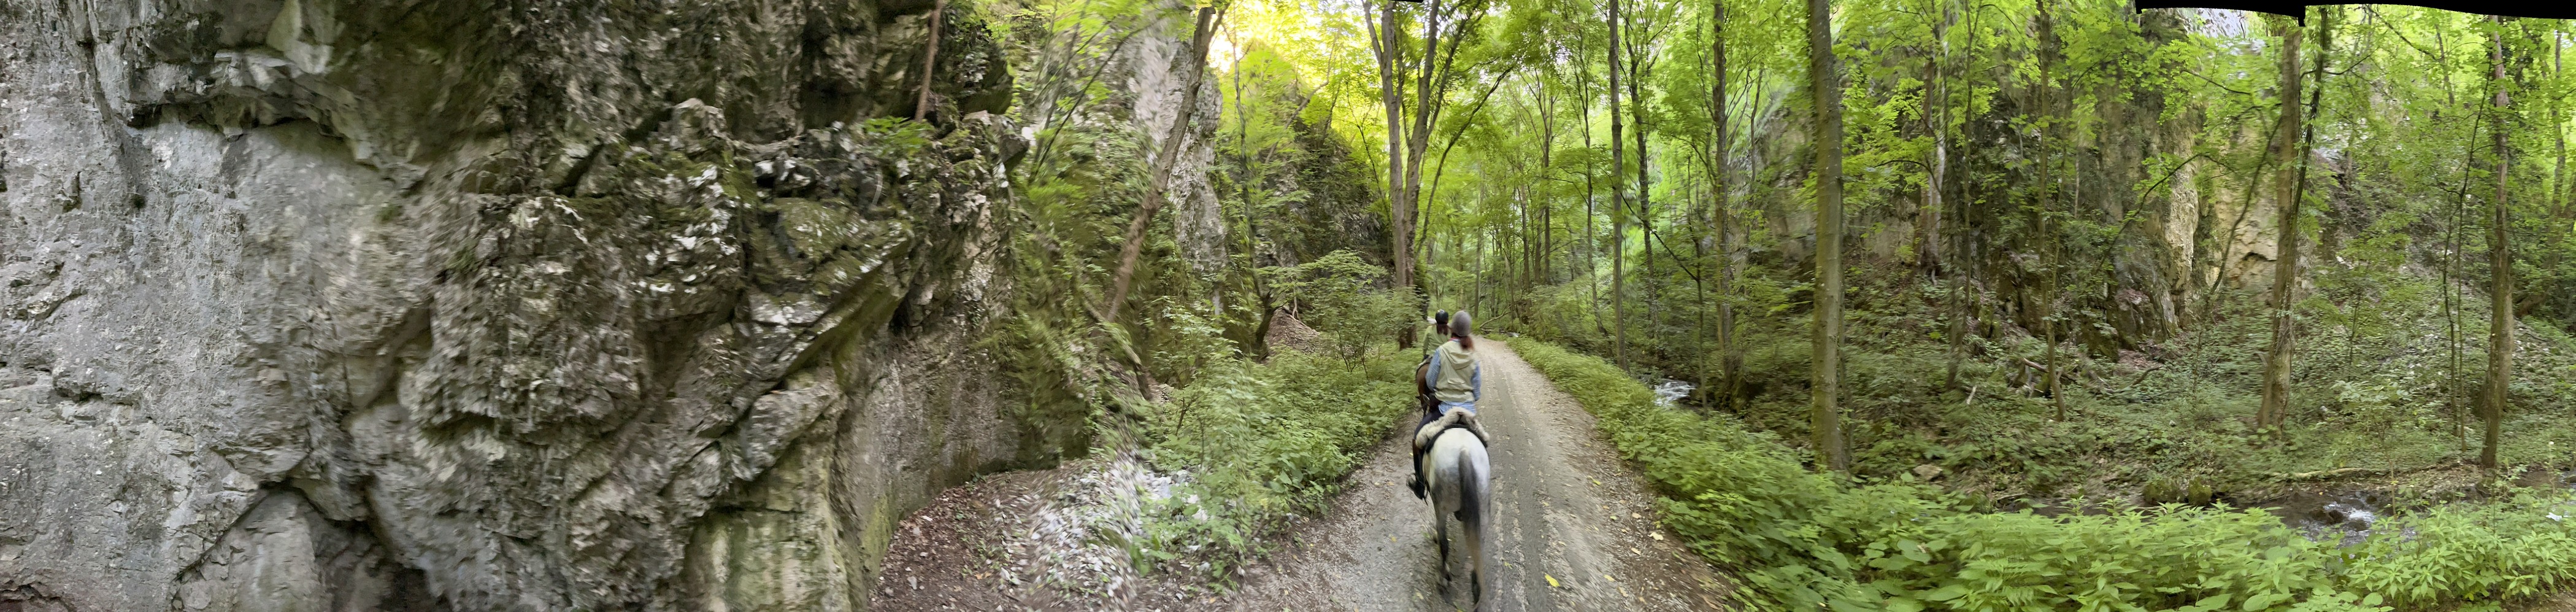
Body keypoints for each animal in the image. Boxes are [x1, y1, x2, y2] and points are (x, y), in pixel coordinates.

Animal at [1432, 426, 1494, 606]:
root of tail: (1464, 452)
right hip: (1483, 508)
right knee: (1479, 544)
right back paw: (1476, 584)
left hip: (1442, 508)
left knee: (1444, 544)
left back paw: (1444, 578)